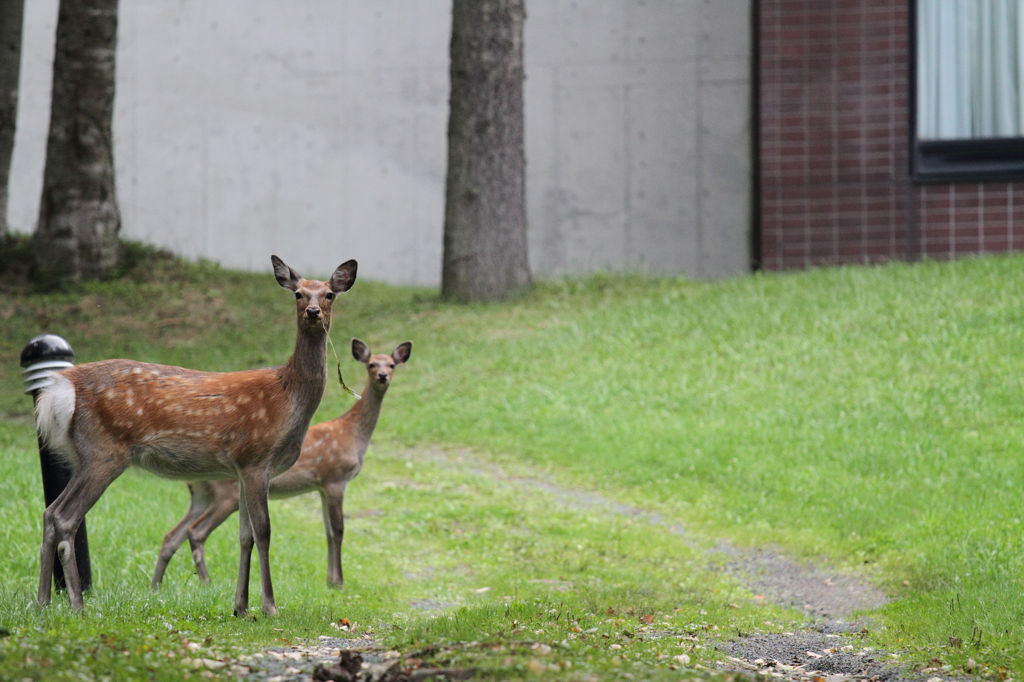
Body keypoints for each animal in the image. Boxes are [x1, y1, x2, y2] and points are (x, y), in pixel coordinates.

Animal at [32, 253, 358, 610]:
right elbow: (264, 531)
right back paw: (76, 604)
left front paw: (241, 607)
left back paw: (43, 601)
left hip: (84, 456)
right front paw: (269, 605)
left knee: (50, 513)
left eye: (329, 294)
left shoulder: (242, 469)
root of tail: (60, 390)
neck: (288, 398)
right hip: (104, 451)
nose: (313, 311)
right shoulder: (257, 458)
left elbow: (244, 535)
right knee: (66, 518)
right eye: (298, 293)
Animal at [151, 337, 407, 585]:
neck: (353, 433)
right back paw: (205, 582)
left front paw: (330, 581)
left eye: (391, 365)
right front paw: (338, 582)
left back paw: (158, 585)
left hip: (202, 495)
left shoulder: (321, 486)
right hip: (227, 494)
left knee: (172, 535)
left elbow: (327, 530)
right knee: (196, 532)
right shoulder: (335, 478)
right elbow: (338, 529)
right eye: (371, 364)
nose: (383, 376)